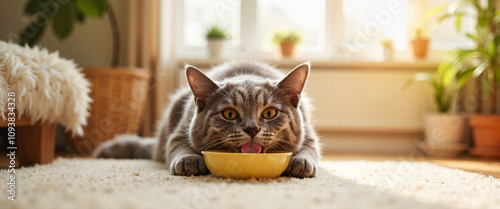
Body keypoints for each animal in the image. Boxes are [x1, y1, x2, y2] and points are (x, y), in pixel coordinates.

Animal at [94, 61, 320, 178]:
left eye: (269, 113)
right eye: (230, 114)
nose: (252, 129)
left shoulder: (309, 134)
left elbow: (308, 149)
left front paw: (301, 162)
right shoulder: (179, 131)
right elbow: (180, 146)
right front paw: (189, 161)